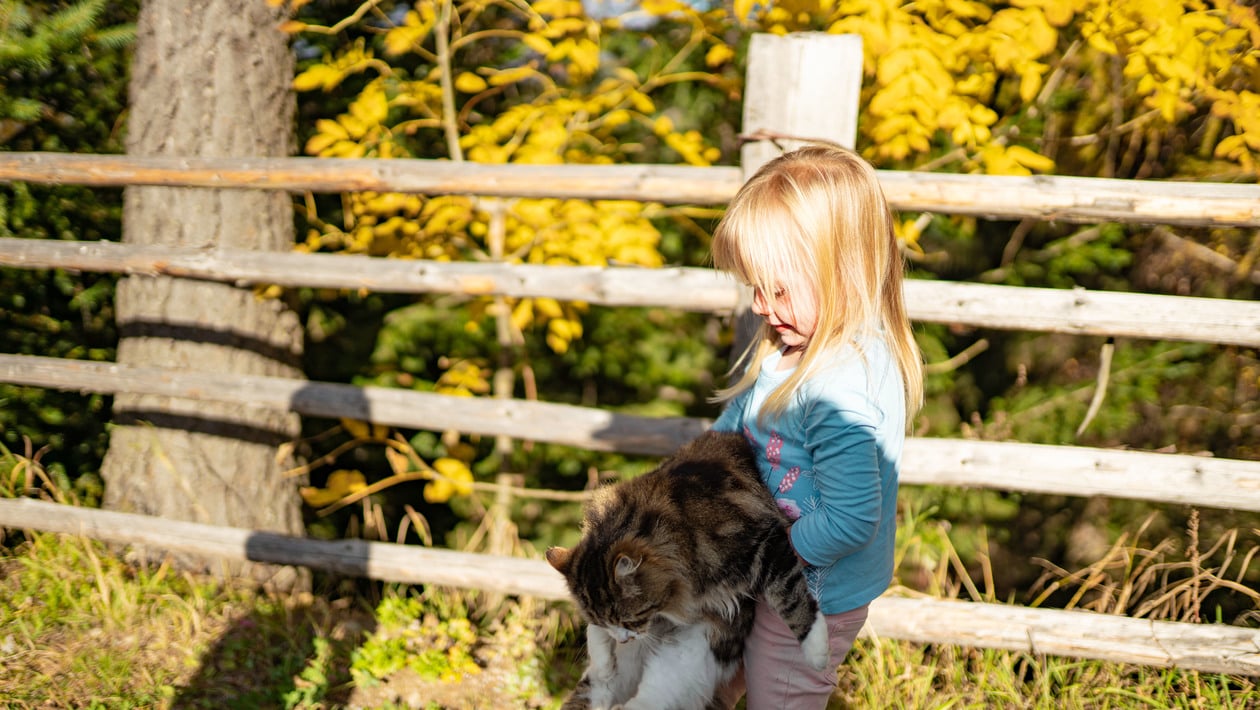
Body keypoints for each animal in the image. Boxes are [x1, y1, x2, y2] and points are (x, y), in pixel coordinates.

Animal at [541, 428, 826, 710]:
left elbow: (789, 595)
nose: (623, 641)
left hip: (686, 661)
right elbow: (595, 636)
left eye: (631, 619)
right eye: (607, 620)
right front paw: (605, 662)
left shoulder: (766, 542)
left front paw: (816, 649)